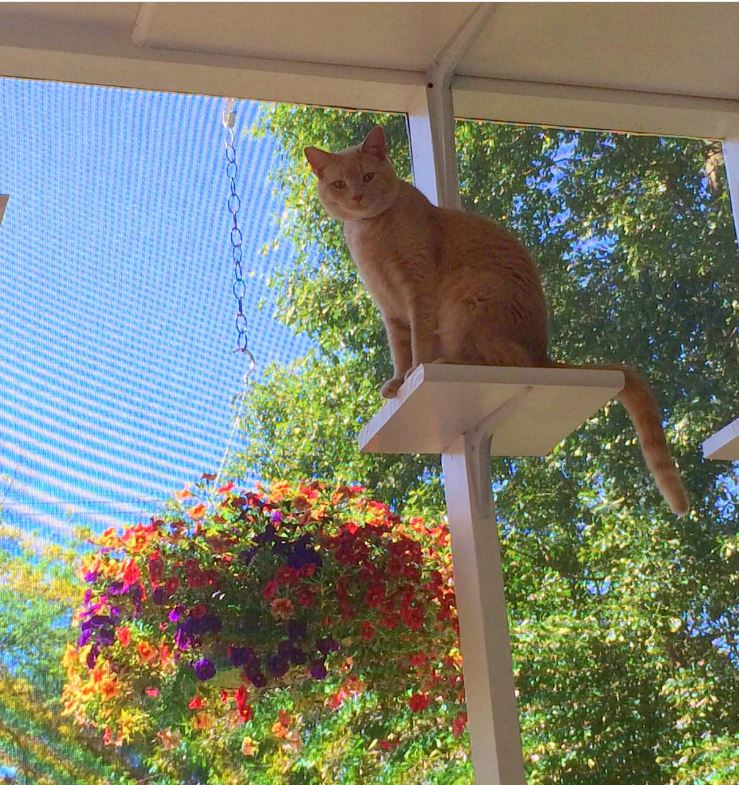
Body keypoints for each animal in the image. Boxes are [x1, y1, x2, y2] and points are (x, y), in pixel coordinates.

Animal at [304, 125, 692, 516]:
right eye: (339, 184)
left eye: (368, 176)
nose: (356, 195)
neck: (371, 232)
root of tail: (543, 356)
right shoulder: (391, 309)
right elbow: (400, 349)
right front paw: (399, 383)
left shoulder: (418, 291)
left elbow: (418, 342)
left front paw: (415, 372)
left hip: (469, 292)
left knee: (491, 358)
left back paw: (444, 362)